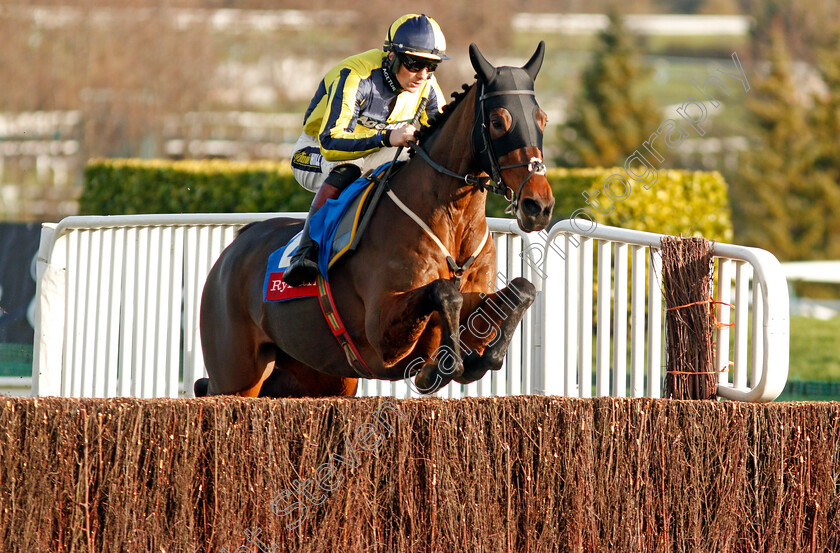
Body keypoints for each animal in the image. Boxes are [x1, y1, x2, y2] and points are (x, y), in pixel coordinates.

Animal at [194, 43, 556, 396]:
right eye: (497, 121)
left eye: (543, 119)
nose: (538, 205)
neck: (452, 223)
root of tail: (237, 245)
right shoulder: (384, 336)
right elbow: (443, 292)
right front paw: (437, 369)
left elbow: (522, 290)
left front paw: (480, 358)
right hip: (236, 376)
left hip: (320, 378)